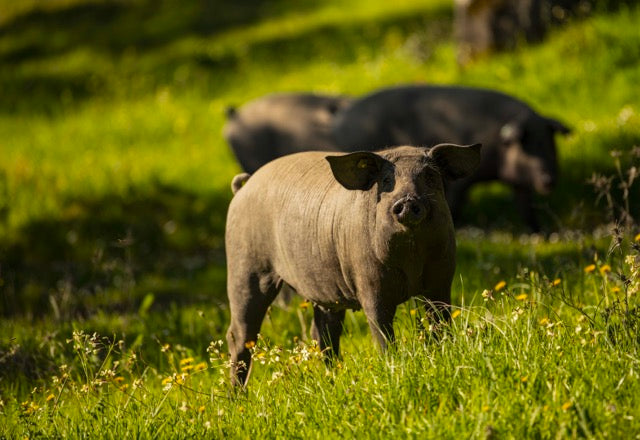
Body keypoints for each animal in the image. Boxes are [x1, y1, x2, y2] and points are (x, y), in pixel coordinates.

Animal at [225, 143, 482, 386]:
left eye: (429, 175)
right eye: (387, 181)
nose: (408, 201)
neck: (411, 260)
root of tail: (243, 187)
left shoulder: (442, 279)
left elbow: (440, 320)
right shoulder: (369, 282)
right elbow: (381, 330)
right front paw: (392, 365)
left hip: (324, 290)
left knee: (323, 332)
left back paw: (332, 380)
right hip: (244, 266)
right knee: (240, 335)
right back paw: (236, 396)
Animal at [331, 85, 571, 231]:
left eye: (551, 146)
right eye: (529, 147)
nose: (549, 180)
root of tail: (340, 123)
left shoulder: (520, 184)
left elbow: (526, 207)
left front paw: (539, 232)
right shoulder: (461, 181)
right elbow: (456, 202)